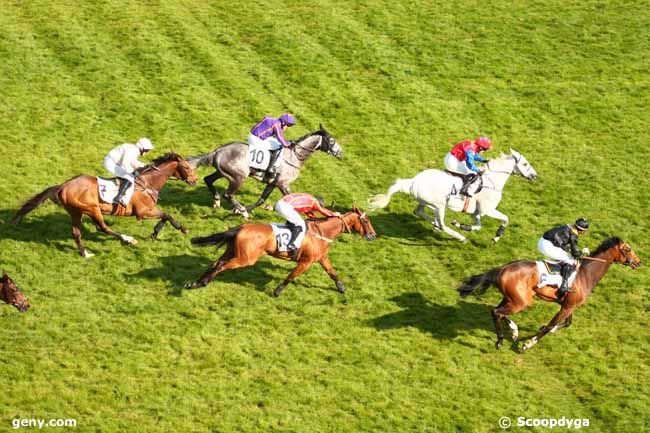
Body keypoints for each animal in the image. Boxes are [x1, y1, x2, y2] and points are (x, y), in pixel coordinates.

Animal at [10, 153, 197, 256]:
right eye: (187, 167)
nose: (194, 180)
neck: (148, 183)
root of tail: (63, 186)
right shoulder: (143, 212)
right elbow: (167, 214)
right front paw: (181, 228)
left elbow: (165, 216)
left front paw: (155, 233)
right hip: (92, 208)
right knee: (102, 227)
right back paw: (128, 239)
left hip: (76, 211)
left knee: (76, 232)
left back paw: (85, 253)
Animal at [182, 207, 374, 296]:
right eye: (366, 221)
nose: (373, 235)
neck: (322, 233)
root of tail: (241, 227)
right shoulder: (306, 261)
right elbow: (291, 276)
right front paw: (277, 291)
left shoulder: (321, 258)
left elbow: (332, 272)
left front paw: (341, 288)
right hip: (246, 258)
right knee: (220, 266)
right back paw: (202, 283)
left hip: (233, 251)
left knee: (215, 263)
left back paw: (195, 283)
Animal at [186, 125, 342, 218]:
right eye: (332, 141)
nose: (341, 153)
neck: (295, 155)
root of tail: (218, 151)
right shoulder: (283, 184)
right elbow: (291, 199)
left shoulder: (273, 183)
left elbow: (261, 200)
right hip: (238, 177)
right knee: (228, 194)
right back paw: (241, 210)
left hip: (223, 172)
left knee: (208, 180)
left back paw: (217, 201)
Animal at [370, 150, 536, 241]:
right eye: (525, 164)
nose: (535, 176)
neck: (492, 181)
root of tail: (413, 182)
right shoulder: (487, 210)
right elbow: (506, 219)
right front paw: (497, 236)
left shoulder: (476, 212)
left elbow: (478, 226)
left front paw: (461, 225)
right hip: (439, 205)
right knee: (442, 224)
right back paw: (459, 237)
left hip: (426, 202)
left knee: (419, 212)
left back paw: (435, 224)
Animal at [456, 236, 636, 352]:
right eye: (628, 249)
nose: (638, 262)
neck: (586, 274)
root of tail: (502, 269)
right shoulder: (568, 306)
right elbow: (551, 326)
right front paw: (527, 344)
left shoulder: (569, 305)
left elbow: (566, 323)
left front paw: (542, 329)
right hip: (521, 302)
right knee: (496, 312)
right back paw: (501, 340)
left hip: (514, 298)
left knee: (498, 311)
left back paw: (514, 331)